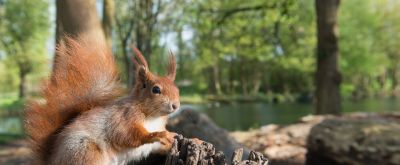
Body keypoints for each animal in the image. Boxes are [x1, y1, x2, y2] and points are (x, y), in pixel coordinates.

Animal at [24, 37, 180, 165]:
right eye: (156, 89)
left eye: (177, 90)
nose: (176, 105)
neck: (154, 117)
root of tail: (53, 161)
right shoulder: (123, 117)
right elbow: (126, 135)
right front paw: (157, 135)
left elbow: (160, 146)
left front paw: (174, 137)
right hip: (86, 151)